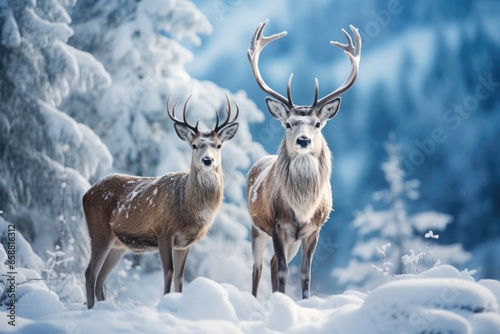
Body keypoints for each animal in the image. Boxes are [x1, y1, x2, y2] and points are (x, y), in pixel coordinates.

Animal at [82, 94, 238, 308]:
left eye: (219, 145)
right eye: (194, 145)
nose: (207, 160)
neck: (190, 209)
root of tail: (86, 194)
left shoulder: (185, 243)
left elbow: (180, 277)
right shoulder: (163, 231)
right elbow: (169, 272)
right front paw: (164, 303)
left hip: (118, 245)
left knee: (100, 279)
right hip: (99, 231)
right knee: (90, 273)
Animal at [247, 19, 362, 298]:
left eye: (317, 124)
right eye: (288, 123)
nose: (303, 140)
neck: (301, 207)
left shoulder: (314, 229)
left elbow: (304, 274)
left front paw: (303, 300)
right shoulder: (277, 225)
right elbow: (283, 272)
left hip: (291, 240)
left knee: (272, 262)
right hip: (256, 227)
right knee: (258, 266)